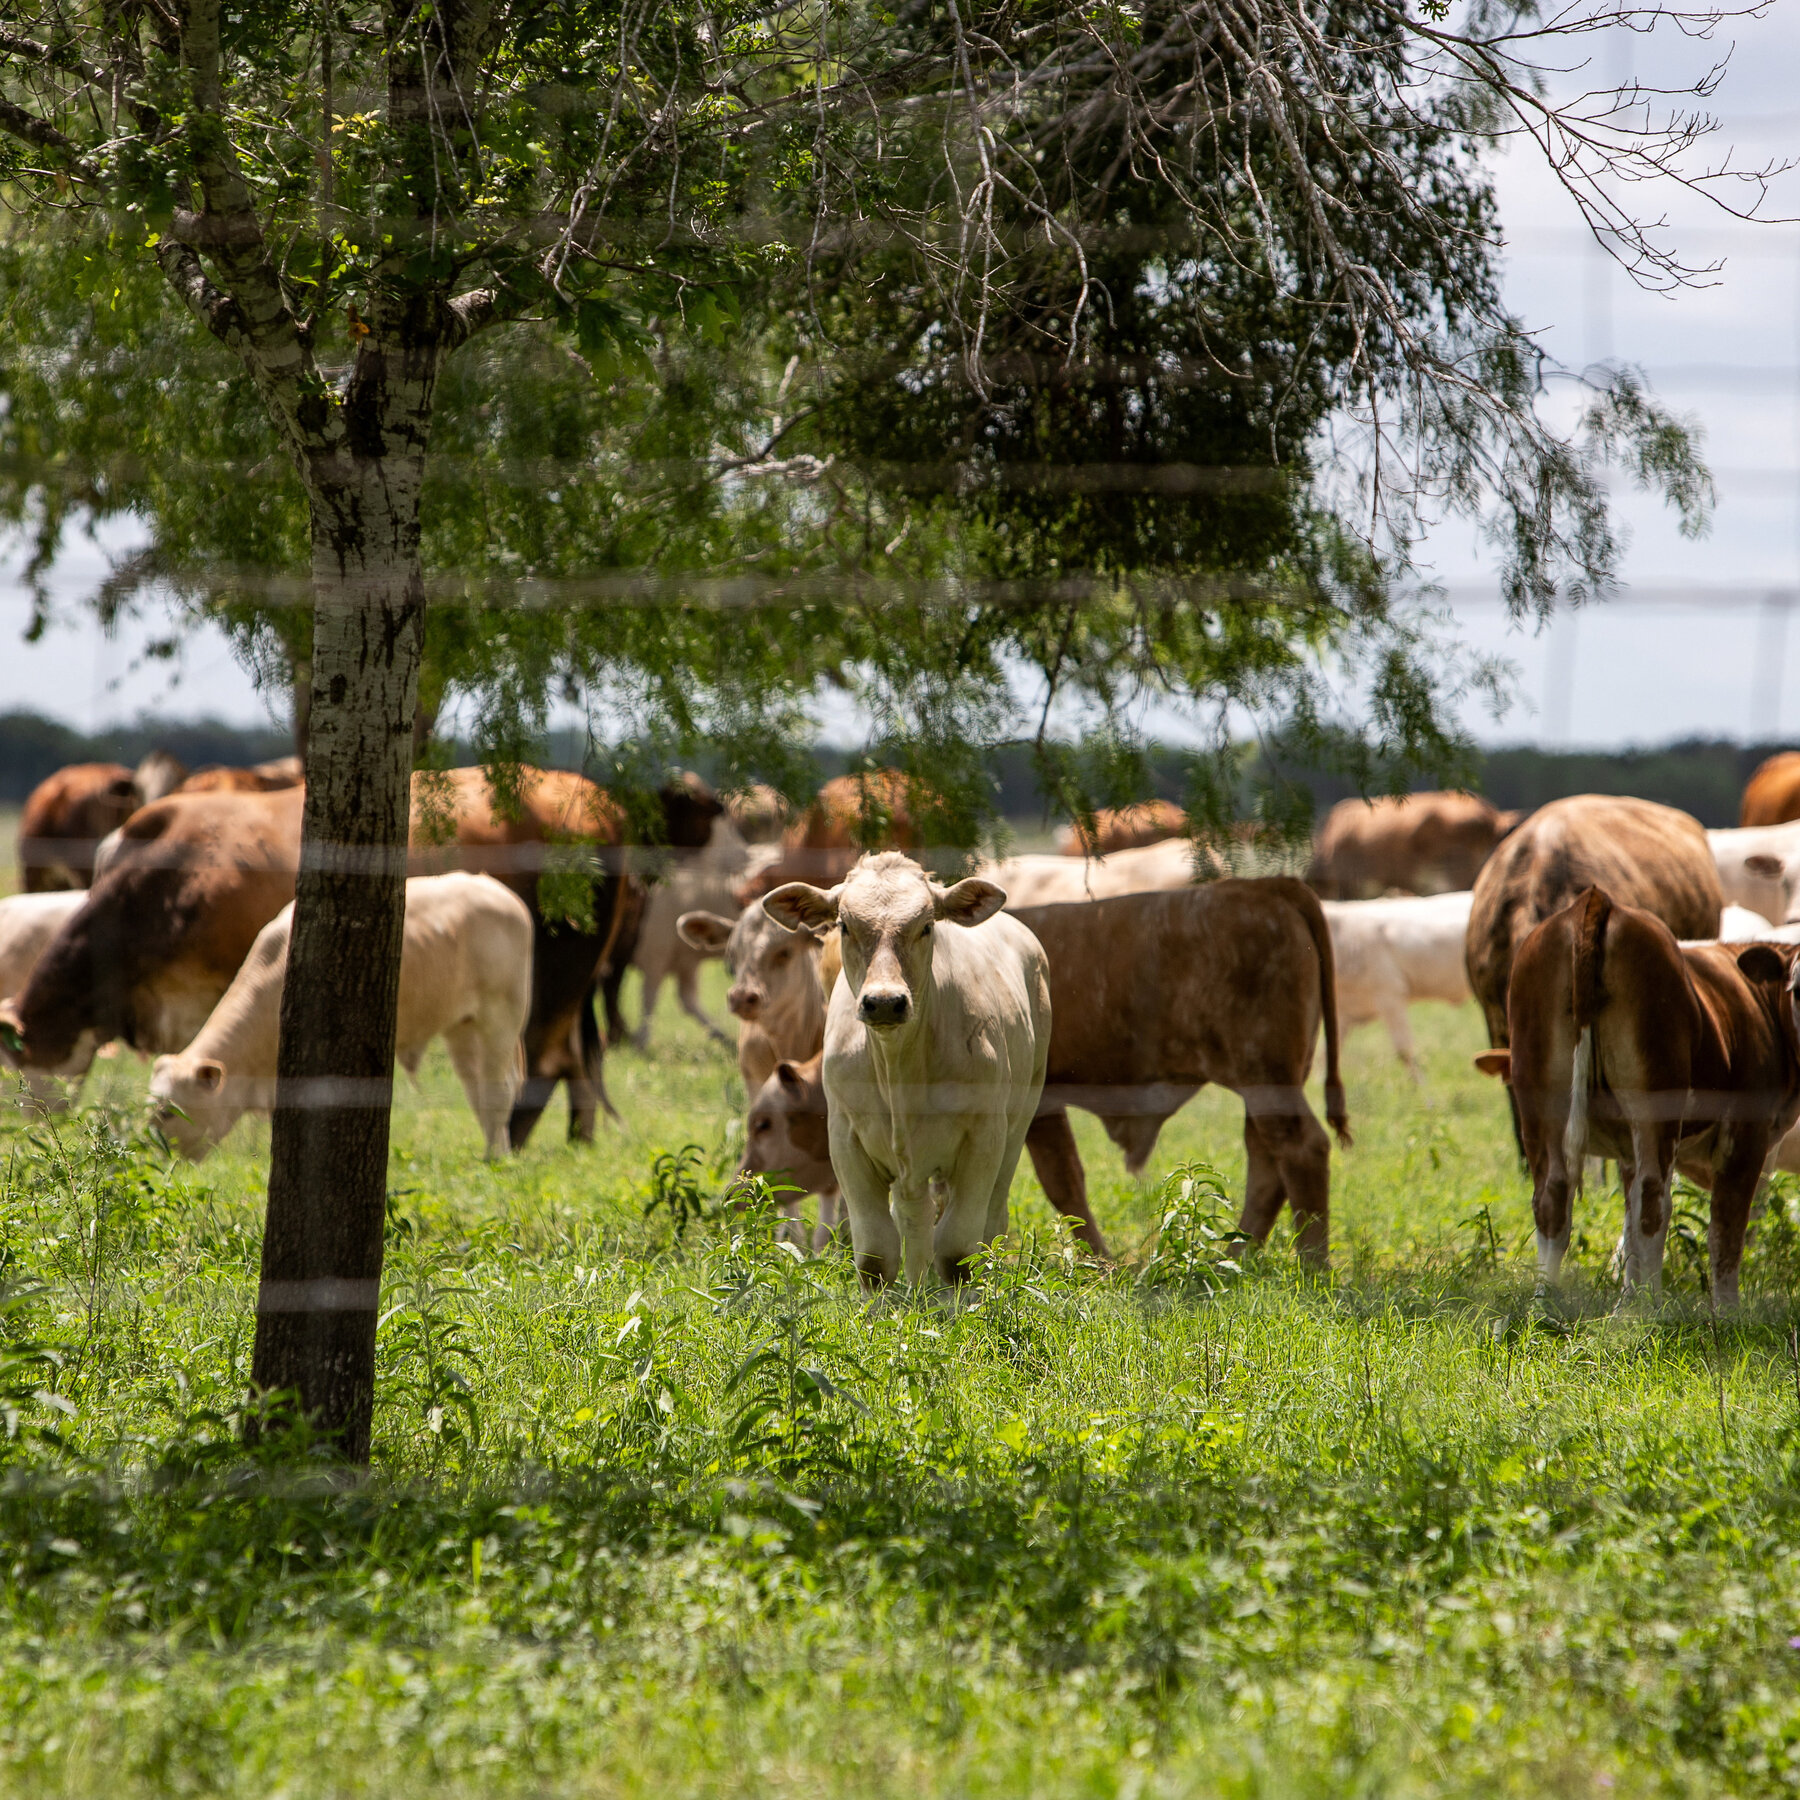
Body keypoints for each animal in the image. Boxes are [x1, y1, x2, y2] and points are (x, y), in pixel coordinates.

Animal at [148, 873, 531, 1162]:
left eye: (168, 1112)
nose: (156, 1155)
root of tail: (499, 890)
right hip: (462, 1027)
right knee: (476, 1089)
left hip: (500, 1017)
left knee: (498, 1090)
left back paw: (496, 1160)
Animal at [764, 853, 1051, 1287]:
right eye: (844, 925)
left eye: (927, 926)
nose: (884, 1001)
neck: (900, 1069)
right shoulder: (846, 1140)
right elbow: (875, 1255)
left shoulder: (984, 1138)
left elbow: (957, 1252)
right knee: (915, 1216)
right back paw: (917, 1285)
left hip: (1019, 1121)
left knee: (992, 1218)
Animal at [1473, 887, 1800, 1305]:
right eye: (1799, 990)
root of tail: (1595, 903)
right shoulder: (1746, 1136)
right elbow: (1725, 1233)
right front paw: (1727, 1311)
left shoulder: (1625, 1148)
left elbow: (1627, 1226)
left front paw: (1627, 1296)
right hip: (1654, 1105)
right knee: (1653, 1202)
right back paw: (1651, 1308)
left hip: (1541, 1105)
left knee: (1552, 1199)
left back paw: (1548, 1301)